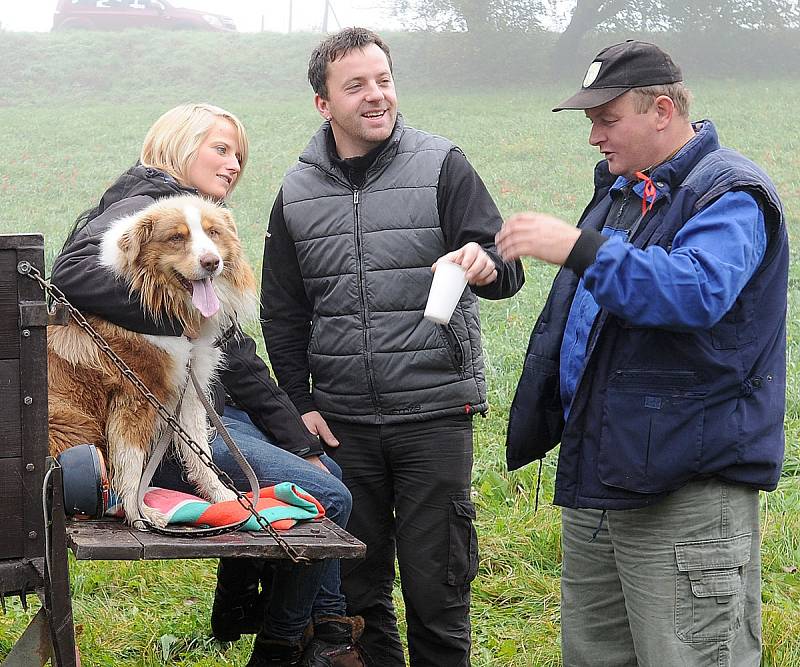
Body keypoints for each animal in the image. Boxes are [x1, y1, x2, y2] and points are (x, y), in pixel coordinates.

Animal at [47, 196, 258, 528]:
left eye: (213, 233)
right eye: (177, 238)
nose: (211, 262)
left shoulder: (188, 389)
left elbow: (200, 451)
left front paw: (224, 497)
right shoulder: (135, 396)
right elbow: (131, 463)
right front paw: (139, 513)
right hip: (70, 424)